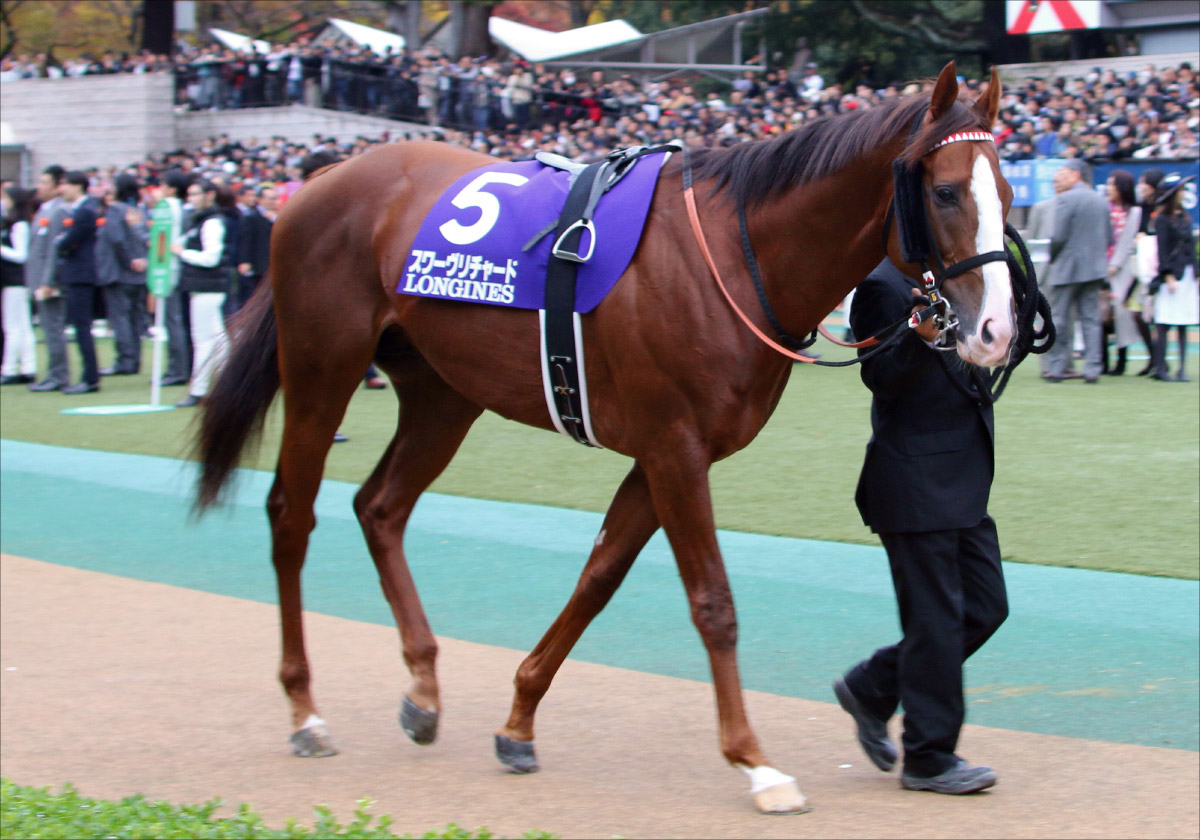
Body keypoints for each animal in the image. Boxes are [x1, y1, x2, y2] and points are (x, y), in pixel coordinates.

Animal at [193, 62, 1015, 814]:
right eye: (945, 193)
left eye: (1006, 197)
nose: (996, 332)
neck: (735, 253)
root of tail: (321, 180)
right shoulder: (675, 448)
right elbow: (713, 601)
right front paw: (754, 761)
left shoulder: (660, 455)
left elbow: (598, 578)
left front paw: (519, 721)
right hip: (322, 365)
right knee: (291, 515)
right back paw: (305, 710)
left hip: (442, 393)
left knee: (380, 507)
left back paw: (423, 690)